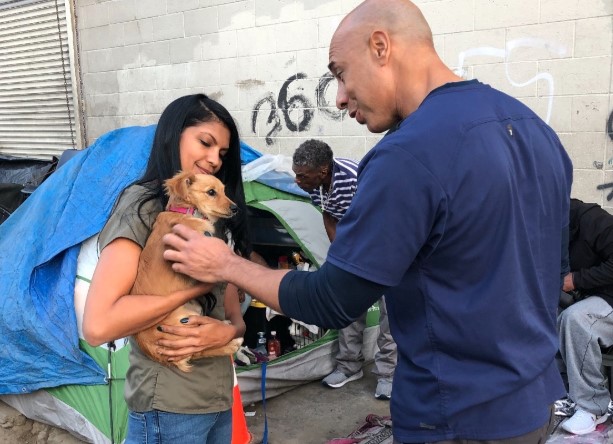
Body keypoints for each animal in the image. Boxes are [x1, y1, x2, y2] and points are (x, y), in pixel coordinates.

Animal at [133, 172, 243, 372]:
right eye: (211, 192)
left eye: (224, 190)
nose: (235, 208)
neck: (188, 213)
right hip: (184, 323)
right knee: (197, 349)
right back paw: (232, 344)